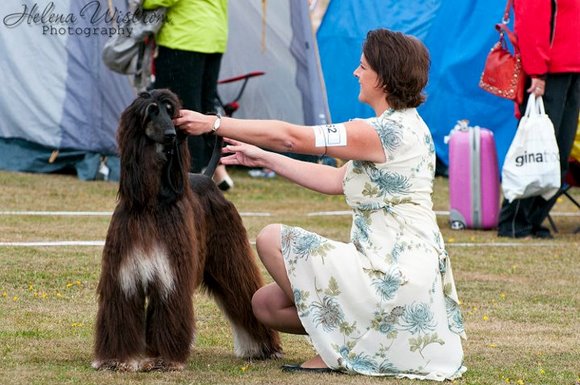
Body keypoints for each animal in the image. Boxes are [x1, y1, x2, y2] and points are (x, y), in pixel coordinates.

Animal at [93, 88, 284, 370]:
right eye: (151, 111)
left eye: (171, 111)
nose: (172, 135)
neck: (151, 203)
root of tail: (205, 177)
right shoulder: (124, 276)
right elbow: (120, 313)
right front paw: (115, 359)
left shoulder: (171, 275)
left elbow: (168, 314)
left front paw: (165, 359)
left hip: (228, 254)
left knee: (243, 292)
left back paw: (263, 348)